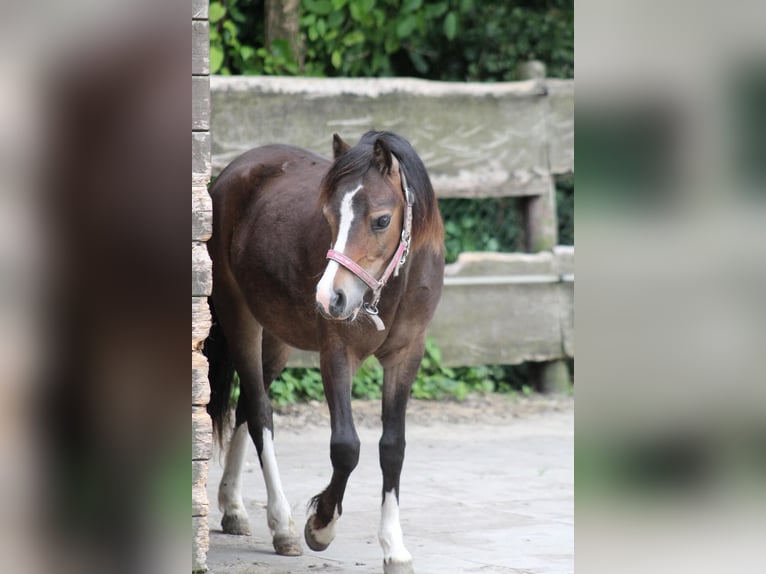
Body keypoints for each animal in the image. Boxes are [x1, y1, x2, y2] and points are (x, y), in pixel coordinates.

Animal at [204, 130, 444, 573]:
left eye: (381, 220)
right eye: (329, 217)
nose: (330, 298)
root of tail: (232, 172)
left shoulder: (407, 357)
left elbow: (393, 447)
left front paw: (394, 547)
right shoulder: (336, 354)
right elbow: (346, 447)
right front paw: (320, 525)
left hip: (275, 338)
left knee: (247, 405)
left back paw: (233, 508)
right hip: (241, 319)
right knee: (260, 412)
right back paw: (281, 524)